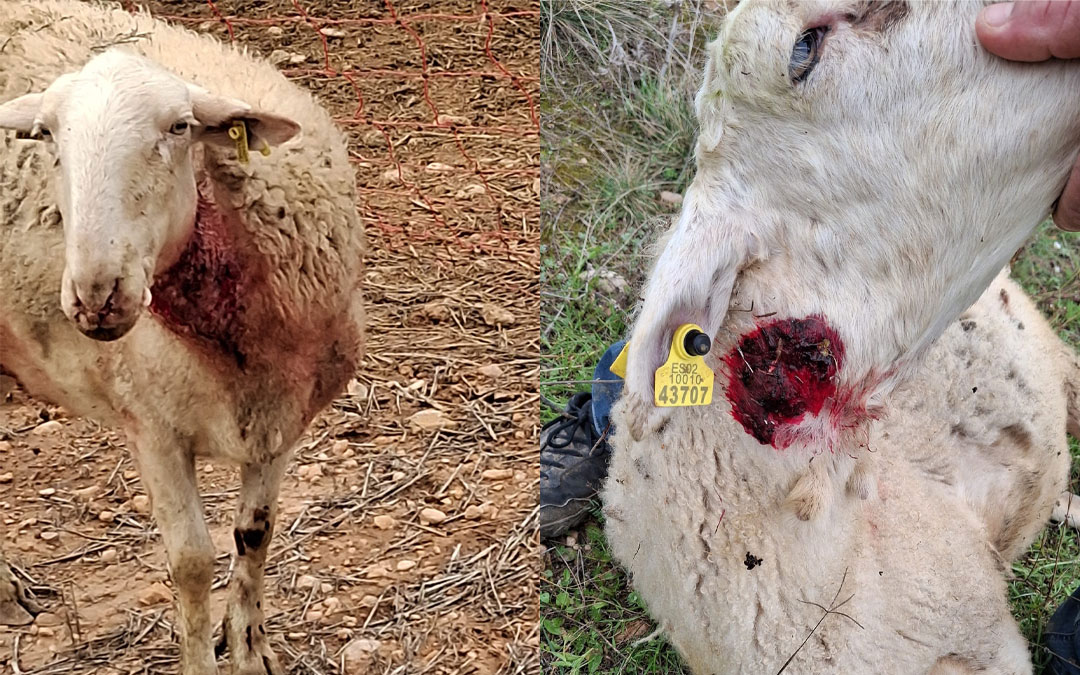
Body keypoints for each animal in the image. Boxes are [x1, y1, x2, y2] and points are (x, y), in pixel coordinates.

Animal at [0, 2, 364, 673]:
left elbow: (255, 534)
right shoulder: (152, 427)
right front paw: (201, 658)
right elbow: (192, 562)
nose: (95, 294)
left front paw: (249, 647)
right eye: (47, 138)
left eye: (179, 128)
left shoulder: (283, 416)